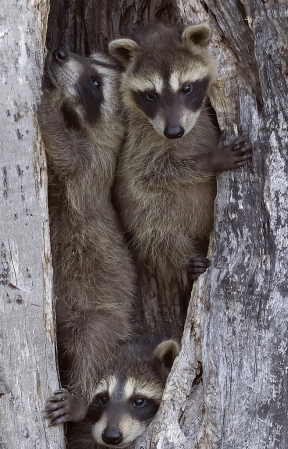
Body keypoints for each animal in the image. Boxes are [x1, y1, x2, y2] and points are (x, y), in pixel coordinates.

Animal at [38, 48, 136, 402]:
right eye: (87, 55)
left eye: (95, 82)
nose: (59, 52)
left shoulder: (92, 167)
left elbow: (67, 155)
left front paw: (48, 108)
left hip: (105, 311)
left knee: (92, 343)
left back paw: (79, 397)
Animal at [108, 22, 252, 288]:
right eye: (151, 95)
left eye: (186, 88)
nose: (174, 132)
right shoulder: (140, 141)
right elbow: (149, 172)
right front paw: (212, 160)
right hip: (150, 218)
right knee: (158, 236)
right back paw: (184, 264)